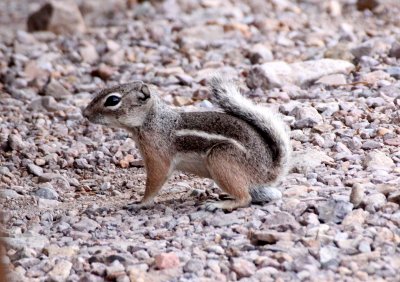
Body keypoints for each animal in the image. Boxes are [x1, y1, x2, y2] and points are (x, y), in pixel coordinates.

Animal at [83, 76, 290, 210]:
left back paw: (220, 204)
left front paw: (140, 203)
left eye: (113, 100)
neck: (152, 120)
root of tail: (268, 170)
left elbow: (155, 181)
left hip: (220, 158)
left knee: (245, 198)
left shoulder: (157, 158)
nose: (84, 113)